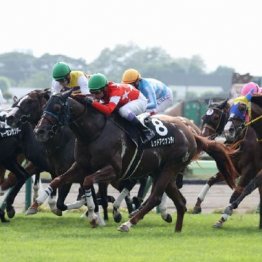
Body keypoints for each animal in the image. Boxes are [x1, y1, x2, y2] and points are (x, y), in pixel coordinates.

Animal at [28, 91, 237, 232]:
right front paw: (35, 205)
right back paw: (176, 230)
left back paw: (129, 223)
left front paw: (94, 216)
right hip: (161, 171)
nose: (39, 131)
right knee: (180, 202)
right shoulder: (80, 166)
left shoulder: (112, 170)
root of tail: (192, 133)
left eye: (57, 107)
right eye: (45, 106)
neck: (94, 132)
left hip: (170, 168)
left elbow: (88, 183)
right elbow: (57, 180)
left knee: (155, 197)